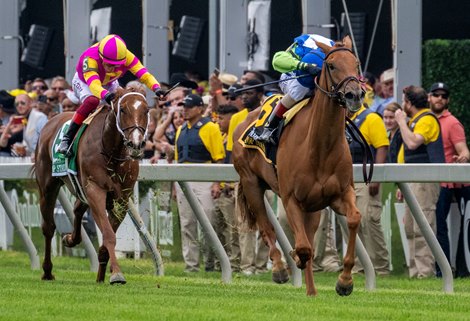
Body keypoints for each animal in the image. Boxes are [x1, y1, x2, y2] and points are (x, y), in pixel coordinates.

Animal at [35, 87, 149, 282]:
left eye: (146, 110)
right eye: (123, 110)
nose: (136, 143)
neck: (111, 152)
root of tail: (51, 121)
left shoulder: (122, 199)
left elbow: (107, 236)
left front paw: (102, 275)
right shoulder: (96, 190)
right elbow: (109, 235)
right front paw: (117, 274)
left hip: (81, 188)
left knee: (77, 209)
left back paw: (70, 239)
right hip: (47, 186)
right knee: (48, 227)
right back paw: (47, 271)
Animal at [234, 37, 364, 296]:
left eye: (356, 63)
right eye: (331, 65)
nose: (354, 95)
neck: (320, 147)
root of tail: (243, 120)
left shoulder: (340, 194)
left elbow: (354, 218)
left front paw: (345, 281)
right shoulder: (290, 198)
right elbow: (302, 247)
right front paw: (294, 258)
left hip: (313, 206)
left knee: (309, 238)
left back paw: (312, 291)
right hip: (252, 184)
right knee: (267, 227)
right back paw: (279, 269)